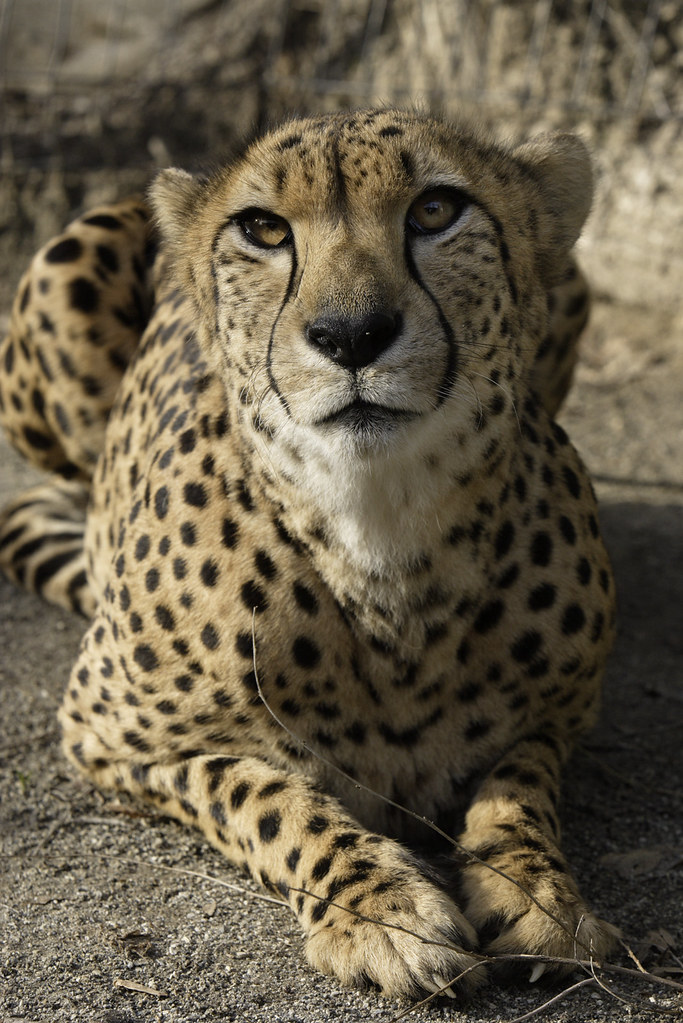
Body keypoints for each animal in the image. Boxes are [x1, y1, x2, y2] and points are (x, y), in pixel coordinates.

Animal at [0, 108, 618, 1001]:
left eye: (435, 210)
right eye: (262, 228)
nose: (351, 334)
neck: (380, 542)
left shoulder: (559, 714)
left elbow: (516, 791)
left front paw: (538, 896)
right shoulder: (111, 736)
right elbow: (264, 793)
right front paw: (384, 910)